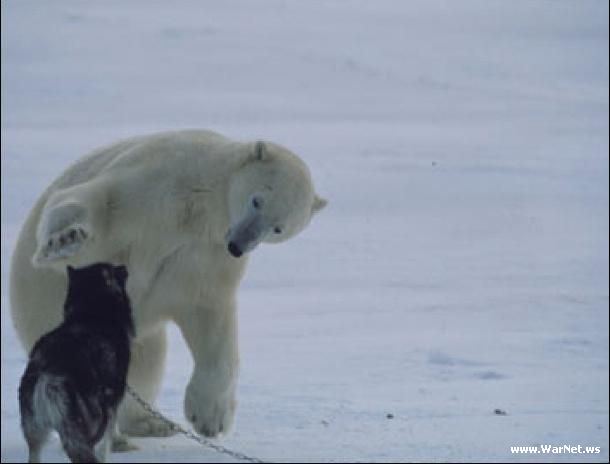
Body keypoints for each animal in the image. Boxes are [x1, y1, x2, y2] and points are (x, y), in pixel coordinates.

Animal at [8, 129, 324, 440]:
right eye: (257, 200)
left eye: (278, 228)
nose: (239, 244)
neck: (201, 204)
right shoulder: (153, 184)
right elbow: (96, 203)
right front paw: (63, 240)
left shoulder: (205, 254)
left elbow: (209, 316)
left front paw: (210, 419)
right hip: (43, 309)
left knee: (146, 361)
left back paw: (151, 424)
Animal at [18, 262, 133, 462]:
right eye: (112, 268)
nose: (124, 266)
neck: (90, 314)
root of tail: (48, 376)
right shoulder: (111, 409)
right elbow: (105, 448)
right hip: (87, 426)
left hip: (34, 432)